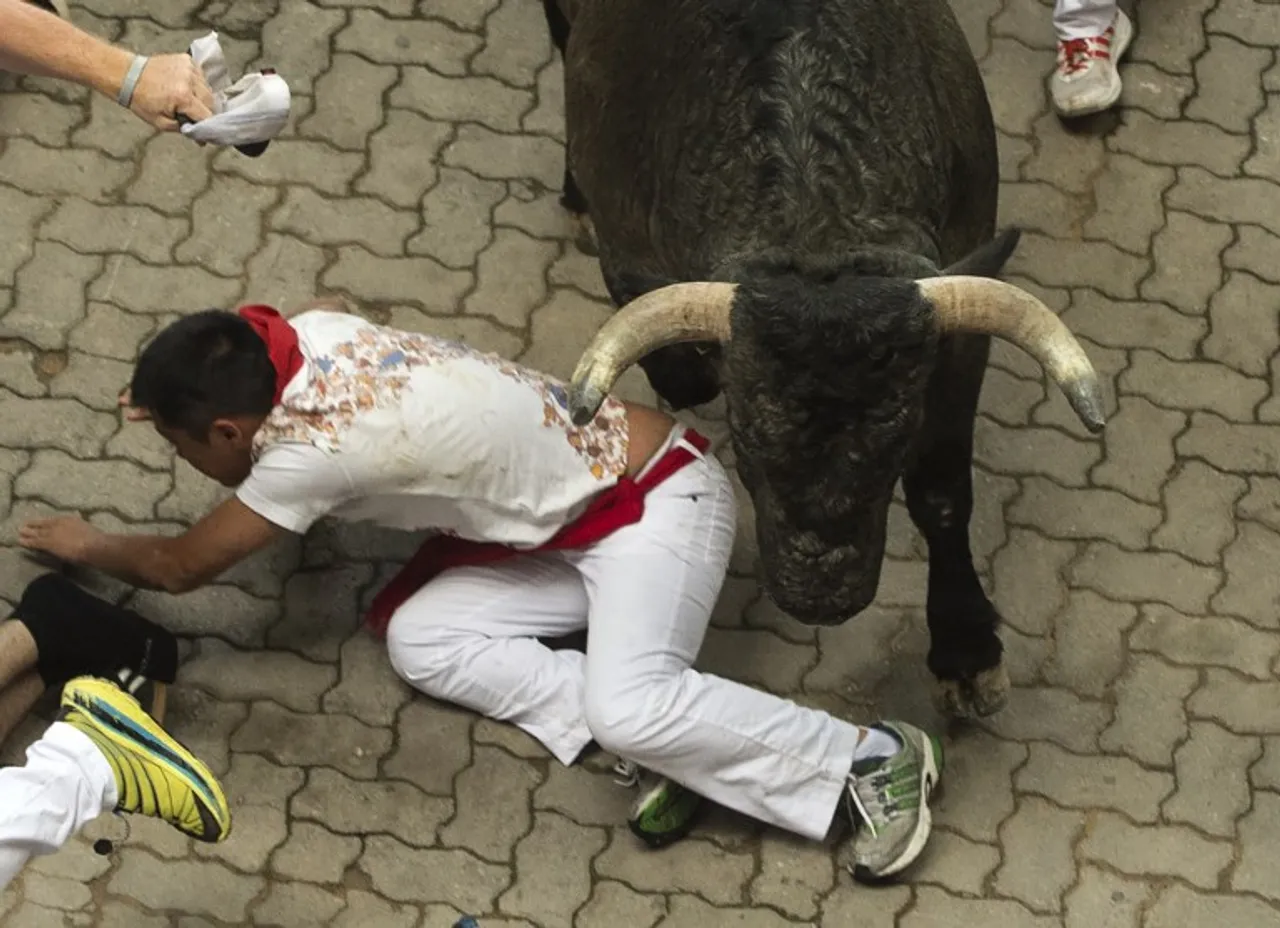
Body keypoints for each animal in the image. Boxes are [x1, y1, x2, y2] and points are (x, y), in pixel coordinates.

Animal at [540, 0, 1111, 716]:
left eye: (897, 440)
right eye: (747, 442)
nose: (821, 596)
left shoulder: (958, 342)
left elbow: (943, 490)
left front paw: (966, 648)